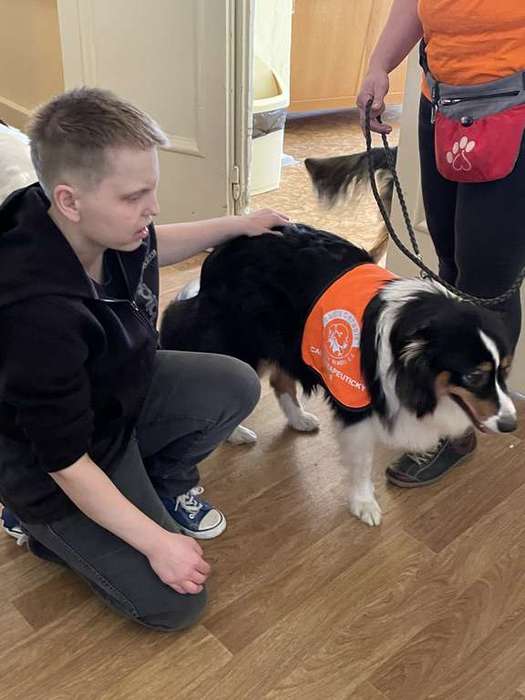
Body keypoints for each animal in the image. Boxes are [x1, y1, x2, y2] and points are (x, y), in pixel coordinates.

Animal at [160, 225, 517, 527]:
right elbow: (361, 460)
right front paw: (364, 504)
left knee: (279, 380)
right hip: (246, 338)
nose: (511, 425)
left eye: (504, 371)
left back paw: (299, 419)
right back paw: (236, 433)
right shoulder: (355, 399)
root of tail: (222, 250)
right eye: (474, 376)